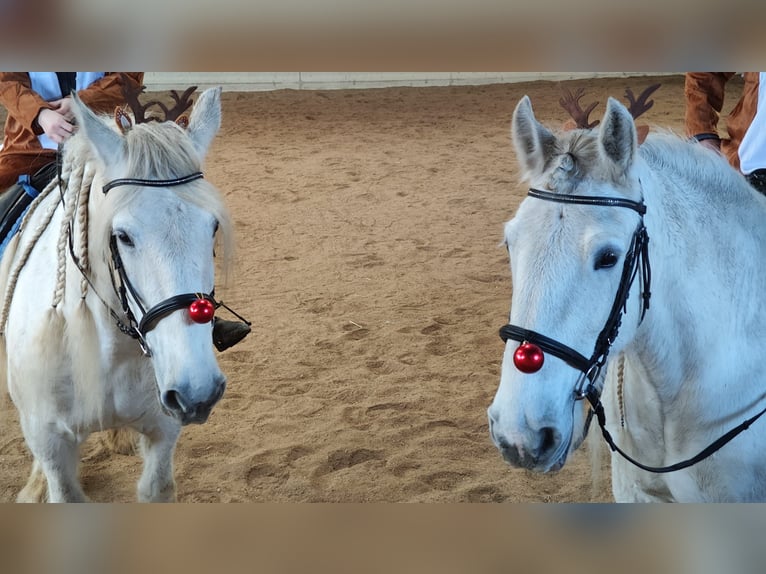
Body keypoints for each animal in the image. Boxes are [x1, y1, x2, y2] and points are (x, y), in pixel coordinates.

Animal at [0, 85, 234, 502]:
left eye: (212, 227)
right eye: (122, 235)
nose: (198, 390)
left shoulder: (163, 429)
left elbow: (156, 486)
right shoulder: (50, 439)